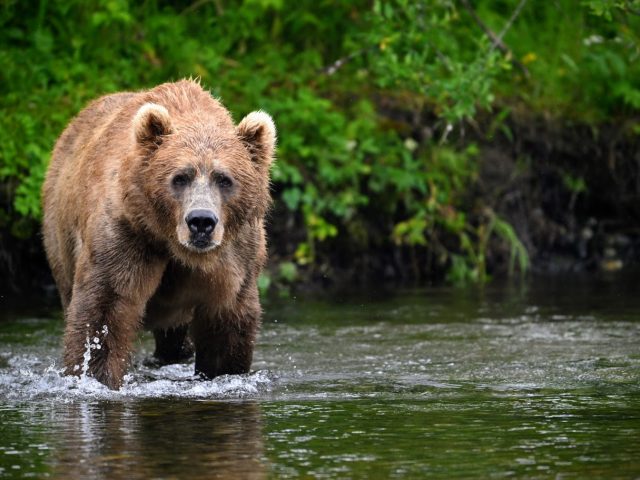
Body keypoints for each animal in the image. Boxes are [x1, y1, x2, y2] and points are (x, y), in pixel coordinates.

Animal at [42, 80, 276, 390]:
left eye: (224, 179)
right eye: (180, 177)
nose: (201, 221)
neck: (172, 244)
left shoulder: (234, 256)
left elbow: (226, 322)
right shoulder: (128, 234)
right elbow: (104, 310)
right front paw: (96, 375)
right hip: (60, 237)